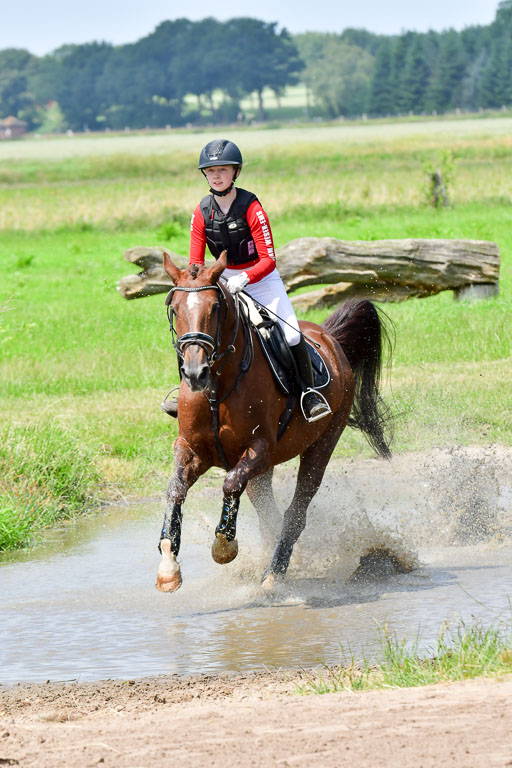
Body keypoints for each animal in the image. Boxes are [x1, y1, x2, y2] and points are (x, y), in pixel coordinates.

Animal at [156, 250, 392, 593]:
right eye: (175, 309)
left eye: (215, 308)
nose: (194, 373)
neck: (218, 387)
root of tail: (330, 338)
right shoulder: (193, 448)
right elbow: (175, 489)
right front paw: (168, 566)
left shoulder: (260, 448)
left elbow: (230, 483)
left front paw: (224, 546)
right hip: (262, 472)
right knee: (268, 512)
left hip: (322, 444)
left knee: (295, 512)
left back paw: (274, 573)